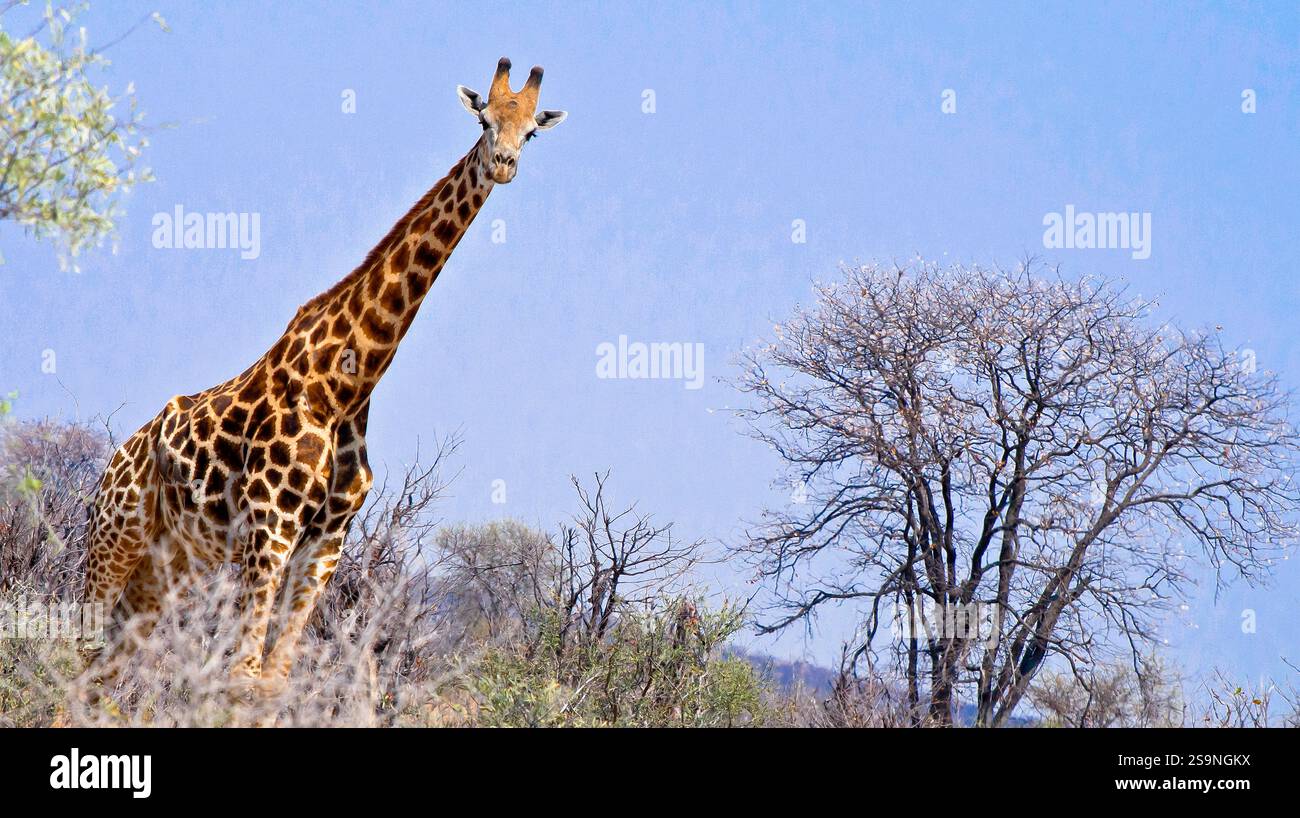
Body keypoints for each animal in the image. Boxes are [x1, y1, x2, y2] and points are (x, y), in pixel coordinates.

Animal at [82, 57, 566, 688]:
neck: (347, 386)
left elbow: (274, 677)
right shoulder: (270, 529)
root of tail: (116, 459)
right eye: (485, 121)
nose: (505, 163)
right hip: (116, 536)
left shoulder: (325, 541)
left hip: (171, 560)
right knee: (77, 650)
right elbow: (243, 673)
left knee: (105, 666)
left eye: (530, 132)